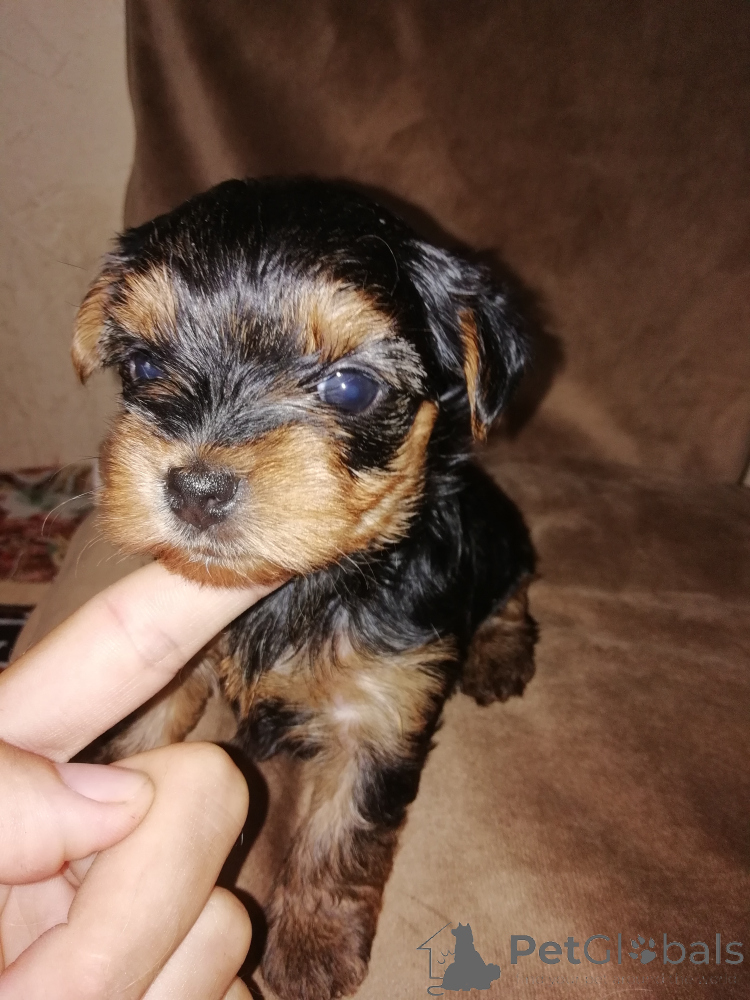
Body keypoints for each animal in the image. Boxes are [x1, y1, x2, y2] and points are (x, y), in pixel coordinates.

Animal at [71, 177, 537, 1000]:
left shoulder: (381, 710)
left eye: (349, 387)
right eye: (146, 366)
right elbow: (143, 736)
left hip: (499, 530)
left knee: (511, 584)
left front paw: (312, 949)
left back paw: (500, 652)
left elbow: (342, 831)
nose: (196, 488)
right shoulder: (177, 670)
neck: (297, 586)